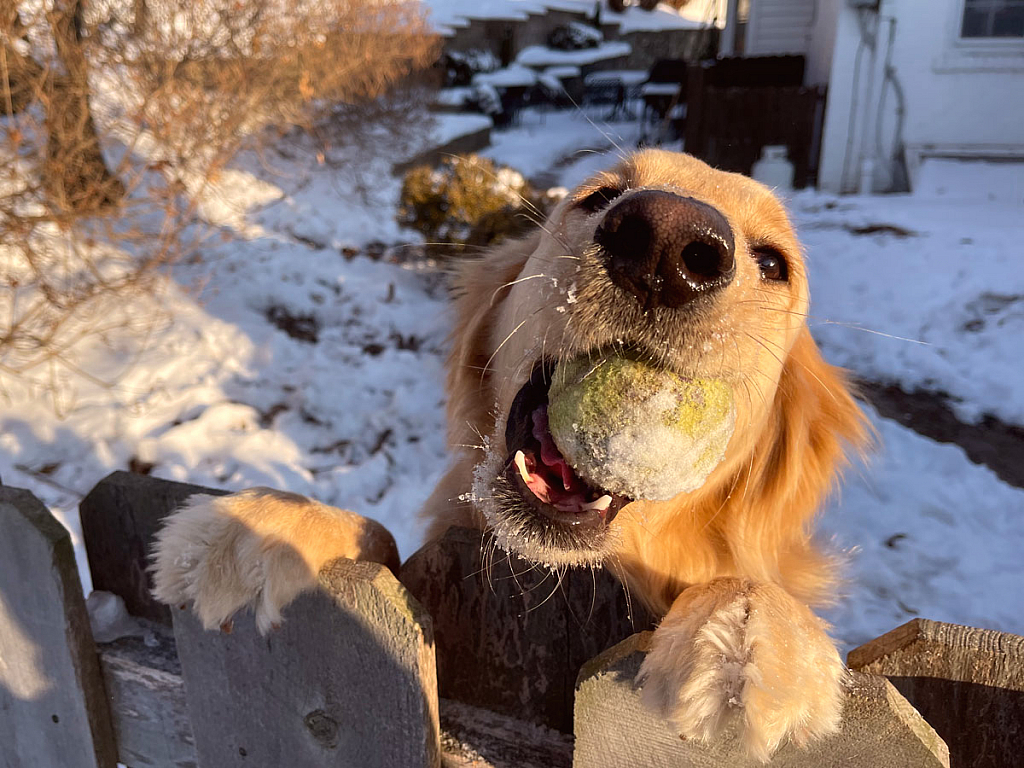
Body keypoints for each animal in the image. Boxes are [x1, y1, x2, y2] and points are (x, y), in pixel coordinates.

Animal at [155, 150, 868, 765]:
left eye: (774, 264)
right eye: (599, 196)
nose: (669, 243)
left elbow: (750, 588)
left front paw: (749, 634)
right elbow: (377, 535)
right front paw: (269, 529)